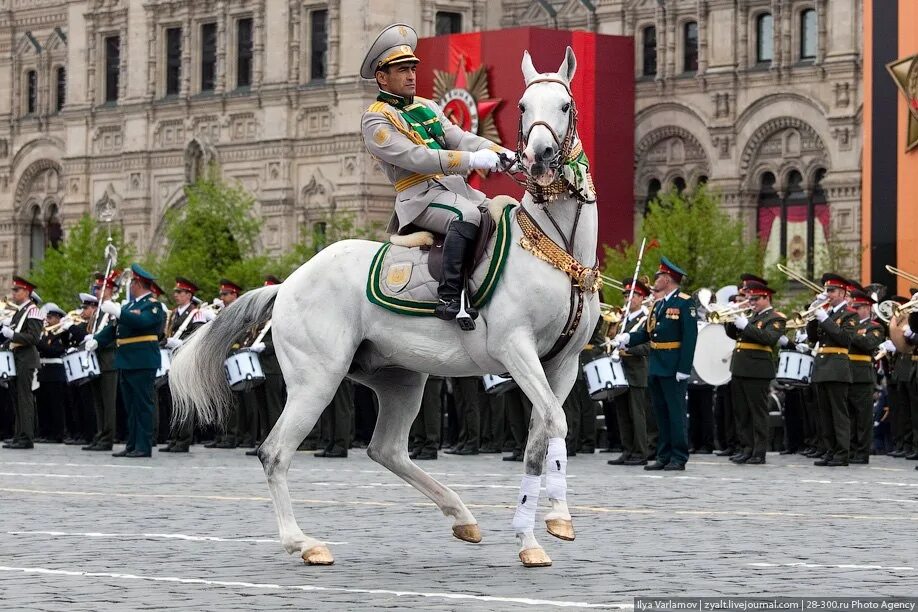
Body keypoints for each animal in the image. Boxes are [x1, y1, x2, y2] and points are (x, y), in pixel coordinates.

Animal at [171, 47, 604, 568]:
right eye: (522, 106)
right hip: (317, 379)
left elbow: (545, 435)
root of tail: (289, 282)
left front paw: (548, 525)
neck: (554, 250)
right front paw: (536, 532)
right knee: (274, 452)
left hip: (401, 380)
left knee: (386, 450)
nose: (538, 158)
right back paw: (304, 543)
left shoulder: (563, 363)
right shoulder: (515, 350)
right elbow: (555, 422)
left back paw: (461, 516)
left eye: (565, 104)